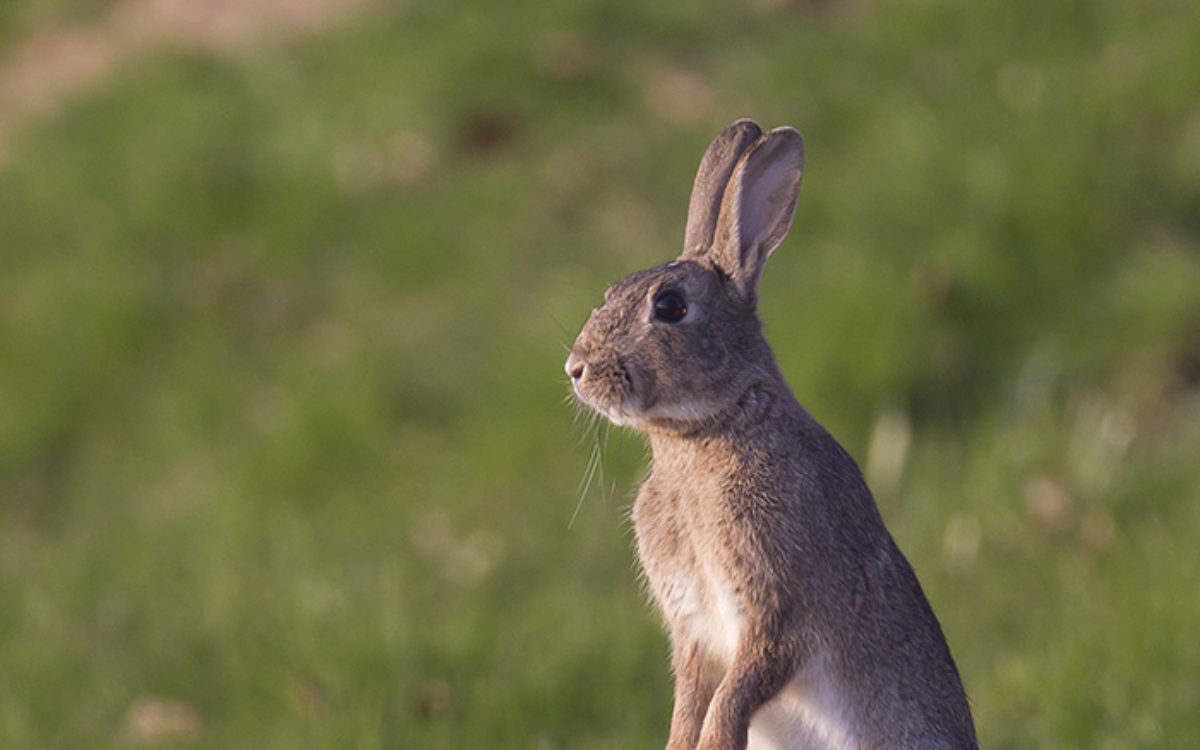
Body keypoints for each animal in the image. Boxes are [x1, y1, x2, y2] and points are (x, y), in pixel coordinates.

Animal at [561, 120, 974, 744]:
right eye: (611, 292)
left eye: (670, 306)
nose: (576, 369)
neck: (706, 432)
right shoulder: (696, 631)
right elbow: (693, 698)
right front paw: (681, 744)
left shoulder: (780, 607)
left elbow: (738, 689)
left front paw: (716, 744)